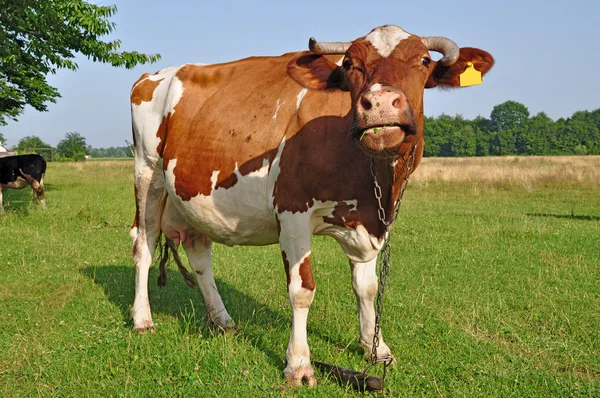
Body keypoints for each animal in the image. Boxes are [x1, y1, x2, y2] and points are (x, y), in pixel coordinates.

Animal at [130, 24, 492, 386]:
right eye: (350, 64)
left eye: (424, 61)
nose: (380, 104)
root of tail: (157, 73)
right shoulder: (292, 210)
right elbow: (302, 289)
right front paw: (299, 364)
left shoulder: (372, 219)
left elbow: (368, 287)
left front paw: (375, 348)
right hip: (148, 173)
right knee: (144, 243)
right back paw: (142, 318)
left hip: (190, 195)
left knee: (199, 252)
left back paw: (222, 320)